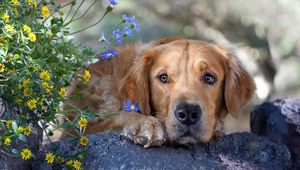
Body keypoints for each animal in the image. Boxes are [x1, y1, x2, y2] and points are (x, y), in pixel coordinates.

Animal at [63, 36, 255, 147]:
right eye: (163, 77)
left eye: (209, 78)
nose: (188, 113)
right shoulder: (79, 129)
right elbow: (117, 116)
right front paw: (145, 124)